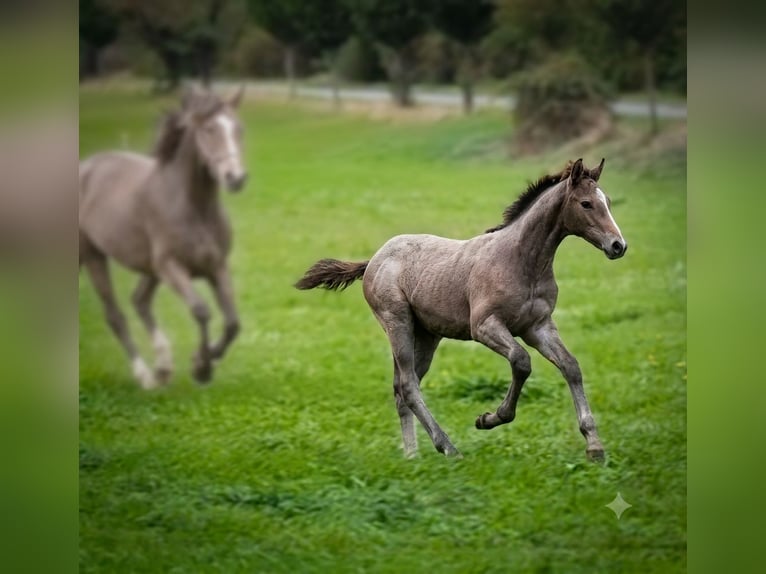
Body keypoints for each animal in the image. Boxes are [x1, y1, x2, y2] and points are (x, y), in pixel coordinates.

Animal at [79, 88, 248, 388]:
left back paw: (163, 368)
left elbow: (232, 322)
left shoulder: (216, 266)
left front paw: (203, 359)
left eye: (238, 128)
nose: (235, 178)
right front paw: (202, 368)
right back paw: (145, 376)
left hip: (149, 269)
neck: (194, 207)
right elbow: (201, 311)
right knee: (115, 315)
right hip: (91, 255)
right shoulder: (171, 267)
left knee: (139, 301)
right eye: (208, 129)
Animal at [295, 158, 627, 460]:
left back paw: (412, 456)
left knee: (402, 389)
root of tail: (375, 258)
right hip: (397, 323)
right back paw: (448, 448)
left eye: (608, 202)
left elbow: (570, 366)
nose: (618, 246)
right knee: (408, 386)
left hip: (426, 335)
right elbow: (521, 361)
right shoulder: (484, 326)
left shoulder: (538, 326)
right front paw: (489, 419)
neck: (523, 261)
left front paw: (594, 446)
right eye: (586, 203)